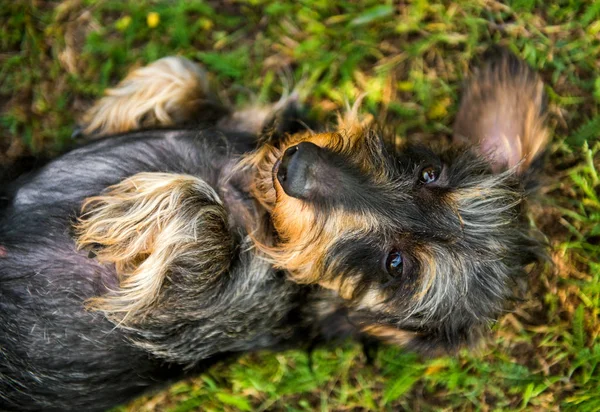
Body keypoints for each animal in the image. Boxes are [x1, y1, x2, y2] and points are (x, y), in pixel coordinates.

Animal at [0, 50, 548, 410]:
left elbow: (203, 220)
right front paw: (125, 106)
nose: (297, 164)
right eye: (430, 174)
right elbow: (188, 74)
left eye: (396, 264)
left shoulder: (180, 322)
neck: (250, 195)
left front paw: (128, 212)